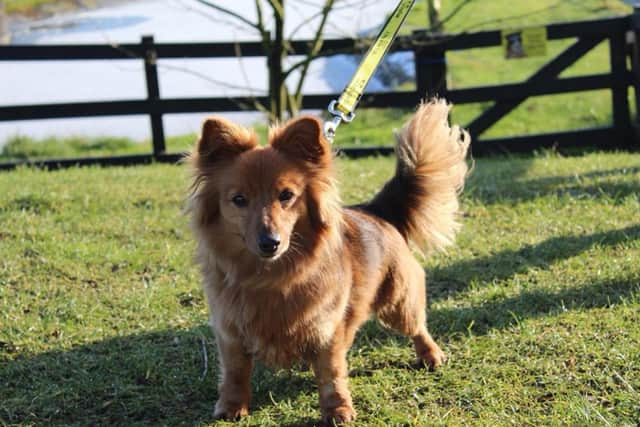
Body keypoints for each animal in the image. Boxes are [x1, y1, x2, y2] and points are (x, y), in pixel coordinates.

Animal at [188, 99, 468, 424]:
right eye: (239, 200)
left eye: (286, 195)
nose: (270, 242)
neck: (270, 275)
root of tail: (375, 210)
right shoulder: (230, 332)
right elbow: (235, 372)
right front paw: (232, 406)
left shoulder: (326, 328)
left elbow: (331, 373)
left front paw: (337, 409)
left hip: (398, 303)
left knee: (418, 326)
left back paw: (431, 354)